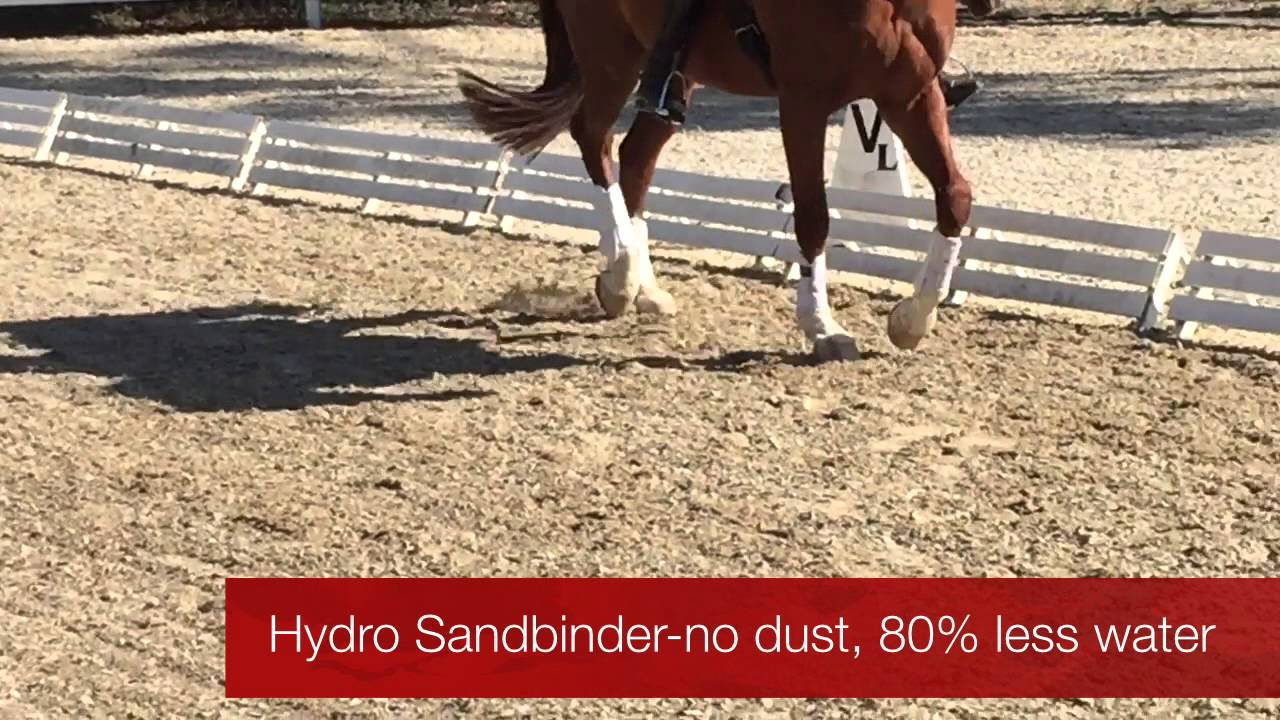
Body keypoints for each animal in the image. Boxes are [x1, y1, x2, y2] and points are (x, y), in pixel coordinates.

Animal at [458, 0, 993, 361]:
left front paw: (912, 320)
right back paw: (620, 276)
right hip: (609, 49)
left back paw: (639, 286)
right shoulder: (804, 100)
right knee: (594, 140)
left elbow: (955, 196)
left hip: (675, 67)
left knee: (635, 158)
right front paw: (822, 327)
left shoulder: (910, 91)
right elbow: (813, 216)